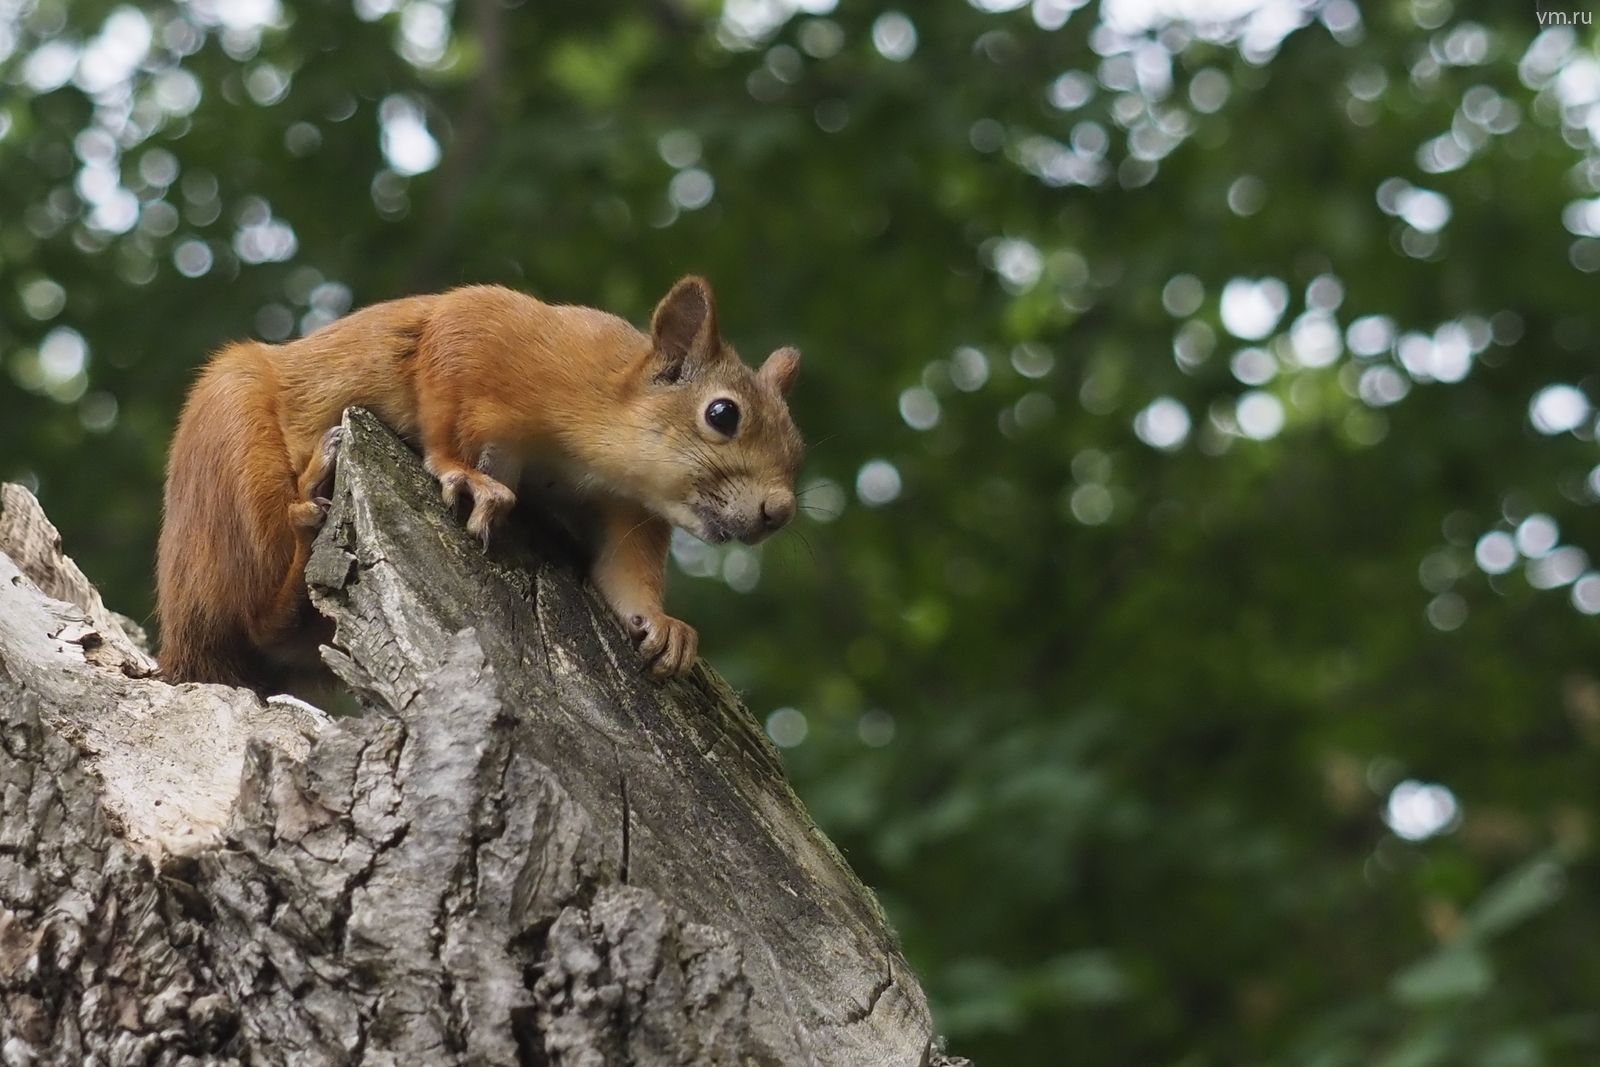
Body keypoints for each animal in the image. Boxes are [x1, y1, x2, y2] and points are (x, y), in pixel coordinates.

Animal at [157, 278, 806, 694]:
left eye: (797, 446)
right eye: (722, 414)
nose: (779, 512)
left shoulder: (626, 509)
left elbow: (625, 573)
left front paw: (664, 626)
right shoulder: (487, 330)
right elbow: (444, 393)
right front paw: (466, 475)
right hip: (231, 452)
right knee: (255, 610)